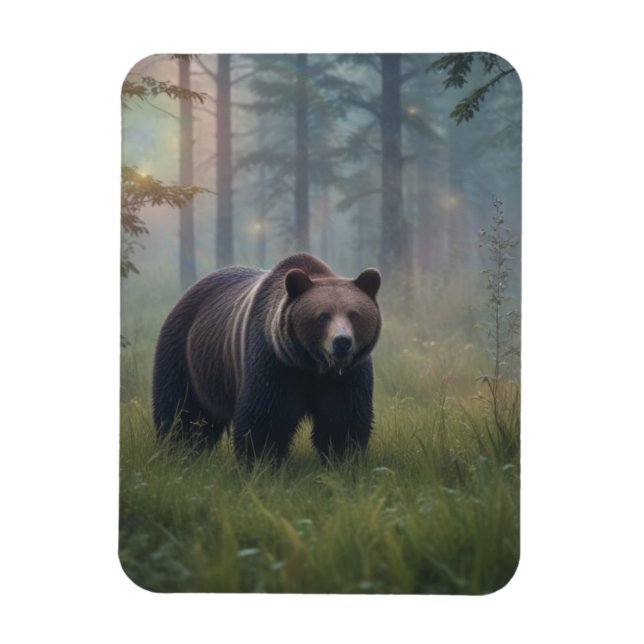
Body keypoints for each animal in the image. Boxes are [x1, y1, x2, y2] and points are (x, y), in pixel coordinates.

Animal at [152, 253, 382, 464]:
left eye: (354, 314)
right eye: (323, 315)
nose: (342, 341)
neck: (311, 365)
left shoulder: (347, 375)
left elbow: (342, 418)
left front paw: (343, 459)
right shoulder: (273, 361)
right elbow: (265, 418)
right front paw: (261, 462)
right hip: (186, 356)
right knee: (183, 411)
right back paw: (177, 449)